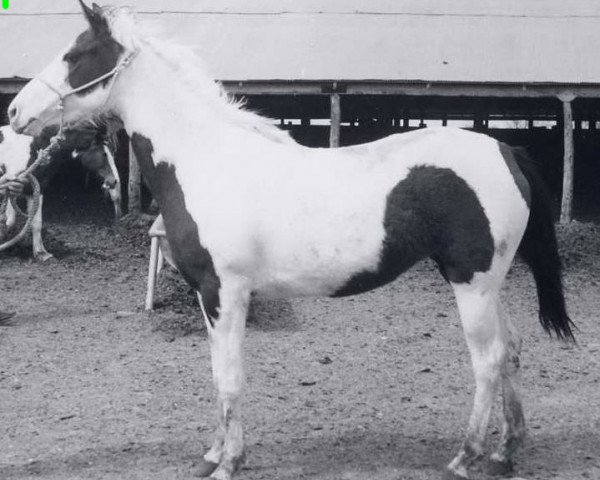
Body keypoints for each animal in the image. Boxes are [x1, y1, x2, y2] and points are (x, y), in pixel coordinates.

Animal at [0, 124, 122, 258]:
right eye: (104, 154)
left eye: (113, 152)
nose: (114, 181)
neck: (35, 148)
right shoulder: (12, 188)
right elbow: (9, 221)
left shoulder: (36, 190)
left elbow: (36, 223)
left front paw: (41, 253)